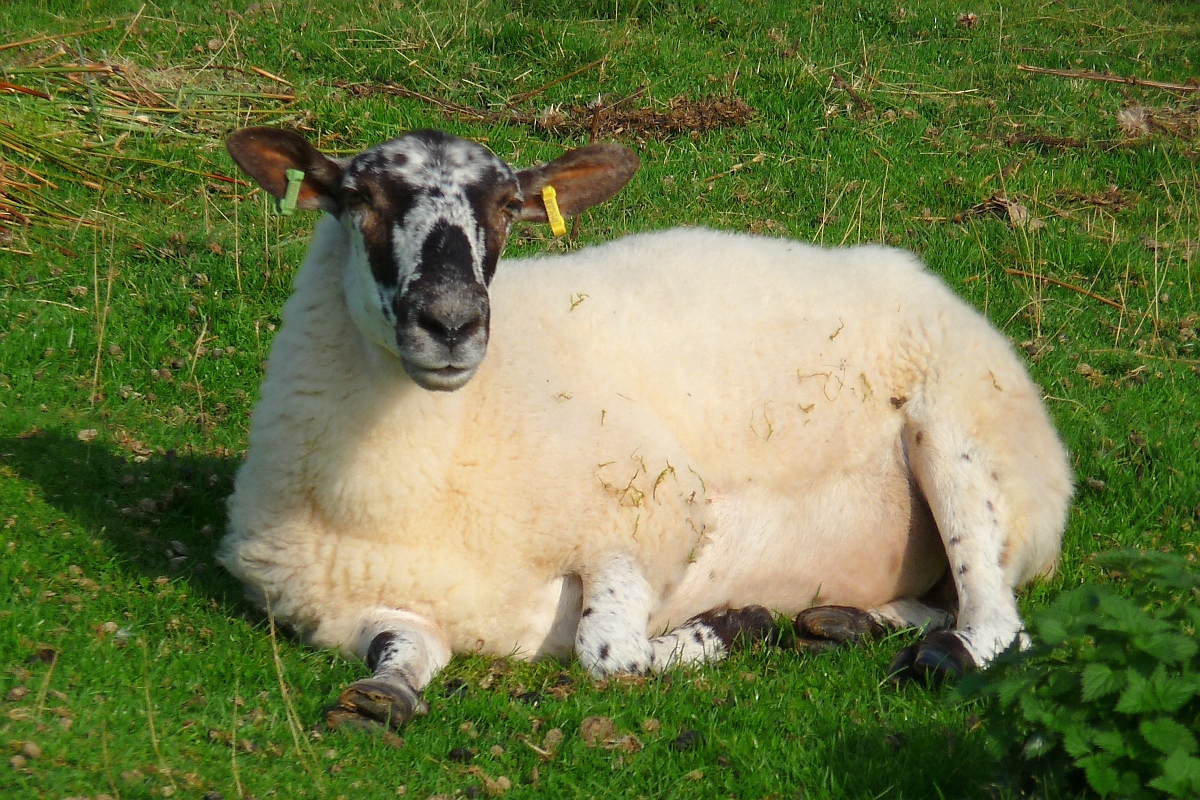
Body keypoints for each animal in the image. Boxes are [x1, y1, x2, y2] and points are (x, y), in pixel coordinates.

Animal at [220, 125, 1075, 734]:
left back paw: (935, 654)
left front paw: (731, 625)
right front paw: (381, 696)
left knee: (998, 624)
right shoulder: (362, 605)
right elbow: (400, 654)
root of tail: (927, 280)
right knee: (947, 608)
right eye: (358, 197)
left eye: (507, 208)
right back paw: (847, 624)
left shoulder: (647, 512)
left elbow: (609, 656)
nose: (452, 323)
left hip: (966, 440)